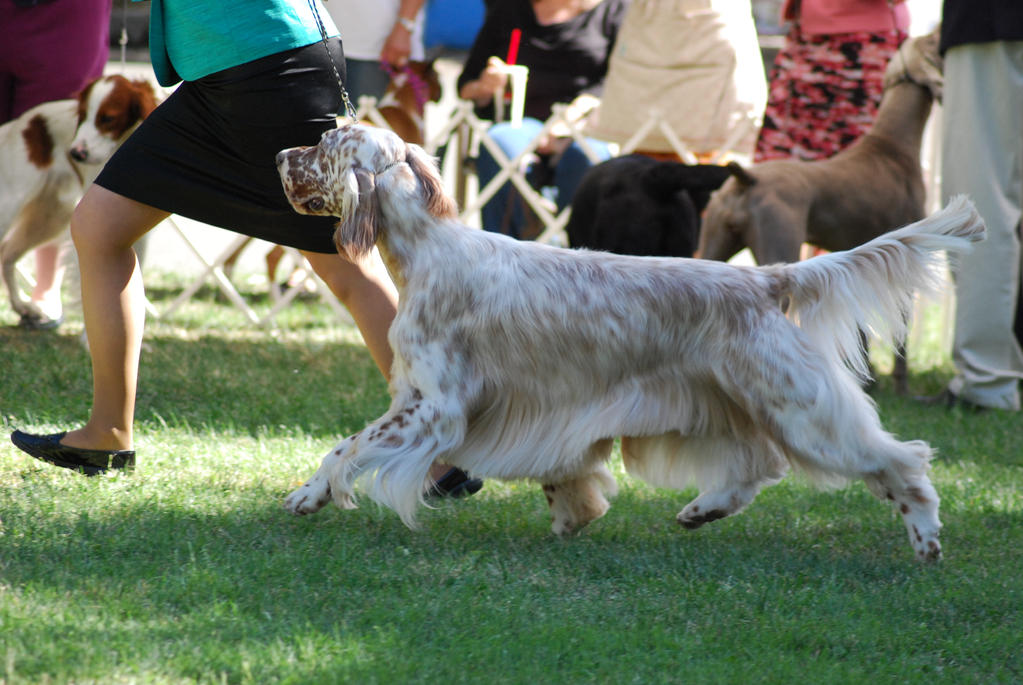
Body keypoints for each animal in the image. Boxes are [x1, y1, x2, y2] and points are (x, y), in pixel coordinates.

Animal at [0, 73, 157, 325]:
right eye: (82, 116)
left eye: (108, 119)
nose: (74, 153)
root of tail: (18, 124)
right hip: (12, 208)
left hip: (51, 218)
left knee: (7, 254)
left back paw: (21, 306)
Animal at [695, 30, 941, 396]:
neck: (891, 146)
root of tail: (746, 177)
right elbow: (902, 341)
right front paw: (902, 389)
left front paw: (867, 380)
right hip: (779, 251)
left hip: (714, 244)